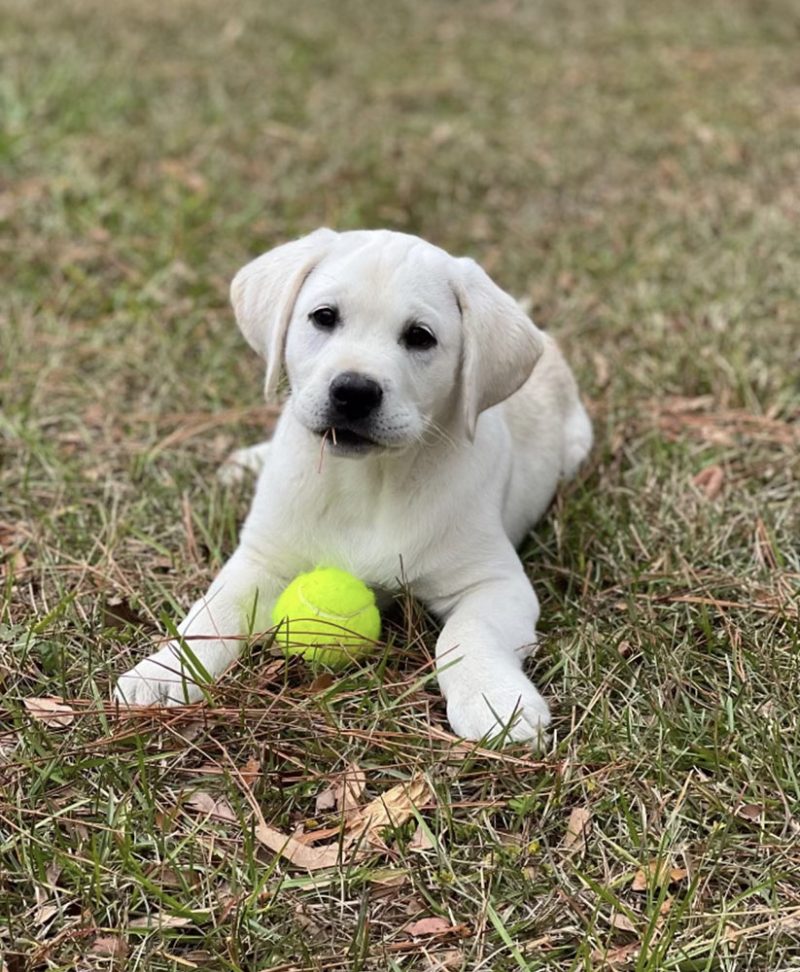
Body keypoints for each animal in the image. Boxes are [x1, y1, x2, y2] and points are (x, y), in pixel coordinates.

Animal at [115, 232, 592, 748]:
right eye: (324, 317)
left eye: (420, 337)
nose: (354, 391)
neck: (368, 481)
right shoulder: (261, 562)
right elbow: (210, 613)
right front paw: (162, 673)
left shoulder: (495, 582)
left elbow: (467, 632)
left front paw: (496, 700)